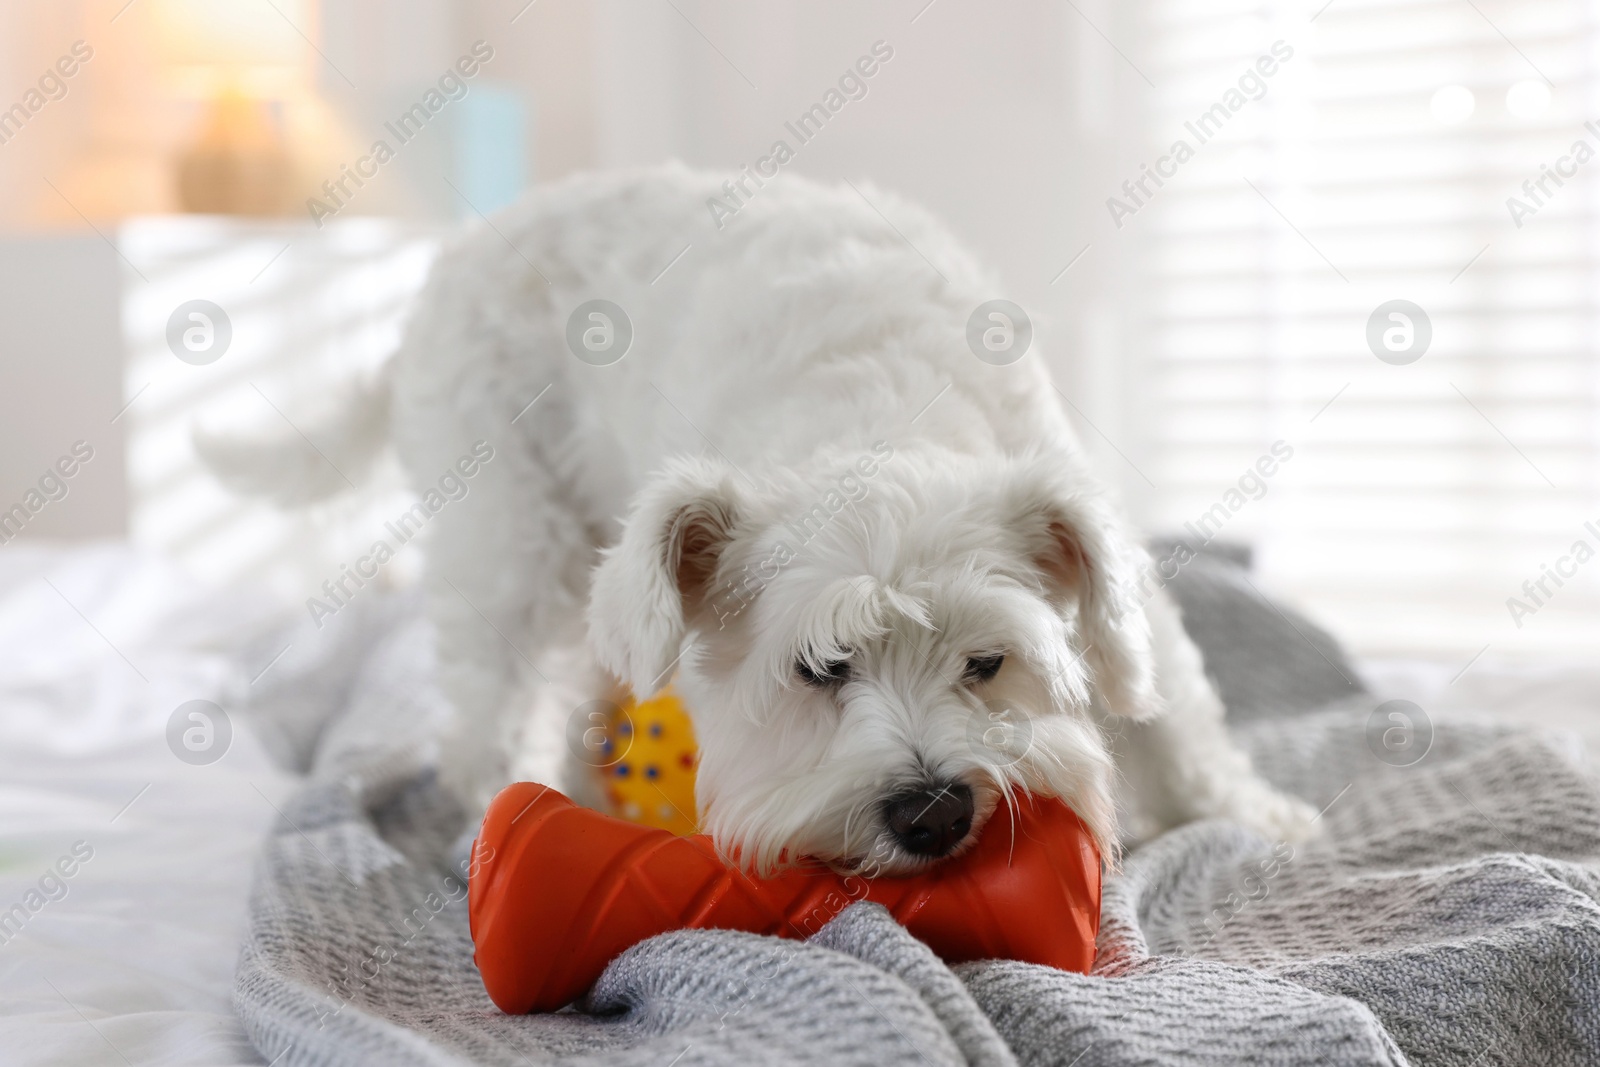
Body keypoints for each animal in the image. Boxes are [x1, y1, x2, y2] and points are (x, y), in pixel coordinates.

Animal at [209, 163, 1312, 870]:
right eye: (819, 667)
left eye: (987, 662)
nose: (932, 811)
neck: (879, 417)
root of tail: (446, 268)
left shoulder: (1108, 557)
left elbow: (1171, 699)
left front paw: (1255, 815)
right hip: (511, 542)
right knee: (498, 708)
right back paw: (504, 815)